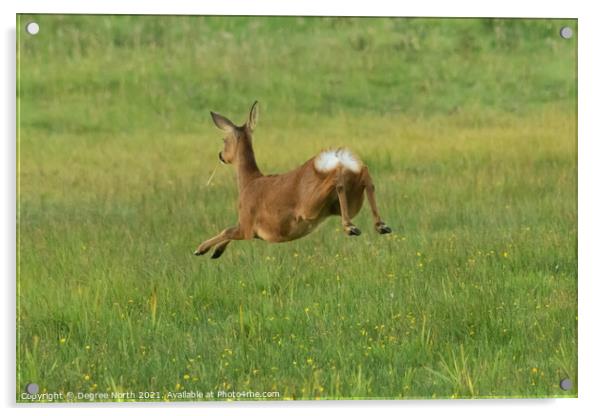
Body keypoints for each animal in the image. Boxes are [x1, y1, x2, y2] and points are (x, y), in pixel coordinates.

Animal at [192, 100, 390, 256]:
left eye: (224, 140)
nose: (221, 155)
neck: (248, 182)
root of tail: (336, 157)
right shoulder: (247, 229)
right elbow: (228, 232)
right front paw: (216, 252)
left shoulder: (247, 225)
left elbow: (226, 230)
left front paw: (200, 249)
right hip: (352, 198)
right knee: (365, 174)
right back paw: (380, 225)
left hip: (310, 206)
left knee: (337, 179)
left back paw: (351, 227)